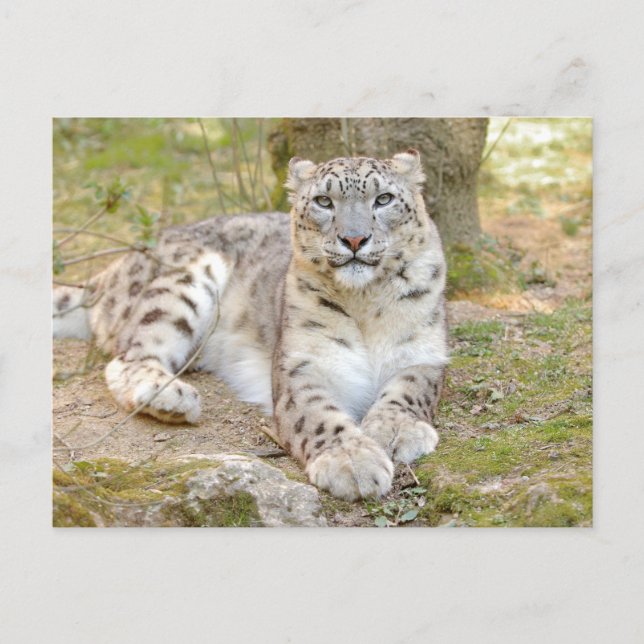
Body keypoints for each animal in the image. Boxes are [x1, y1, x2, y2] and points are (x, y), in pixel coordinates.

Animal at [53, 149, 448, 501]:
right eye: (324, 201)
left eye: (383, 199)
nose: (353, 239)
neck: (365, 303)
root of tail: (115, 269)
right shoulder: (303, 365)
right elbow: (318, 413)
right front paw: (353, 462)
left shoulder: (423, 352)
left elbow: (409, 390)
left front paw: (395, 431)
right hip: (182, 284)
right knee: (128, 356)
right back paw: (169, 396)